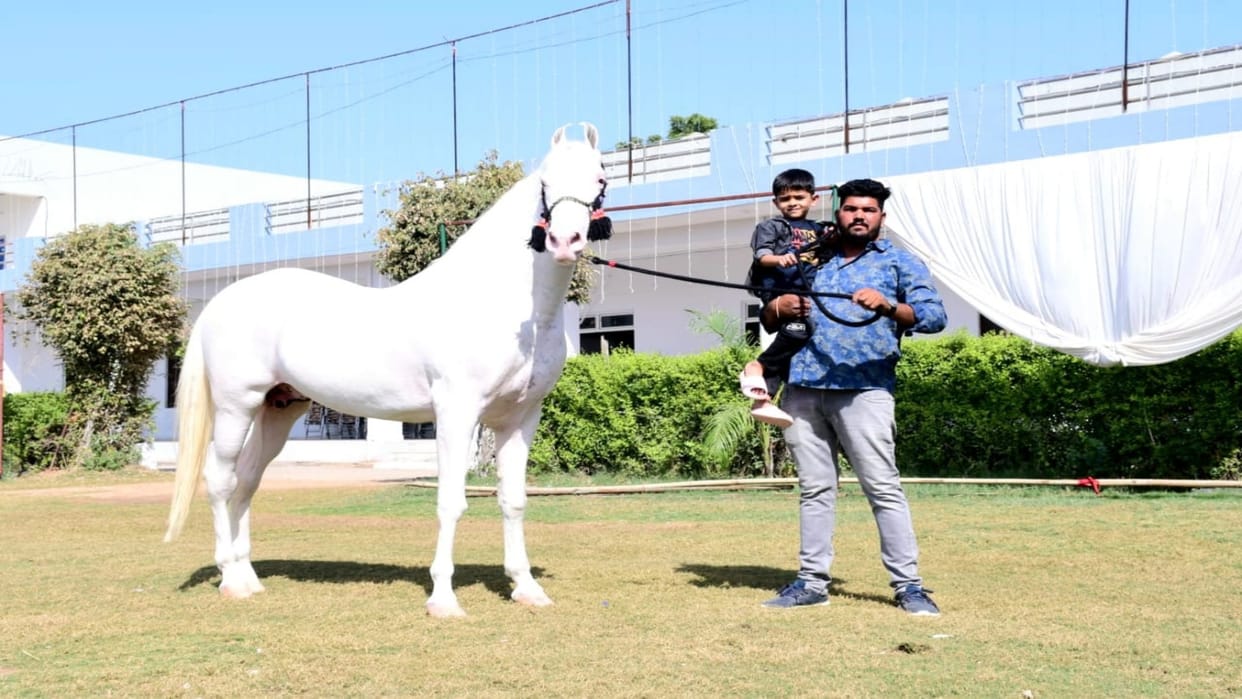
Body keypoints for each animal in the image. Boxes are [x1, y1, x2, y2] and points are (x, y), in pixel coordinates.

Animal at [164, 122, 612, 618]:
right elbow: (450, 502)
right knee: (220, 480)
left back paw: (247, 576)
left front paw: (526, 588)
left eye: (600, 179)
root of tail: (219, 302)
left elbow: (513, 501)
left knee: (246, 481)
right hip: (235, 406)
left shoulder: (519, 419)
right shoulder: (456, 414)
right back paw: (230, 579)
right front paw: (443, 599)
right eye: (545, 183)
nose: (565, 242)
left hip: (277, 409)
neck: (502, 305)